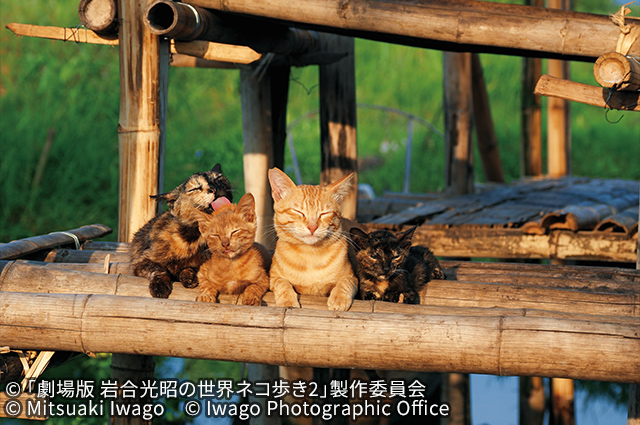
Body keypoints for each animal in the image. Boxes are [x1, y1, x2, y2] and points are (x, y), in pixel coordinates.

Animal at [129, 163, 232, 298]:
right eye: (195, 188)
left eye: (218, 178)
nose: (214, 188)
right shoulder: (139, 261)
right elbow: (158, 268)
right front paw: (159, 287)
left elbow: (194, 266)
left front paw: (188, 275)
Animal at [264, 167, 358, 310]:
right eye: (298, 212)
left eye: (324, 214)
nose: (312, 227)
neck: (310, 254)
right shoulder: (273, 278)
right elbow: (282, 283)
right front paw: (287, 301)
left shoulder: (353, 278)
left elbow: (345, 282)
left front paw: (339, 298)